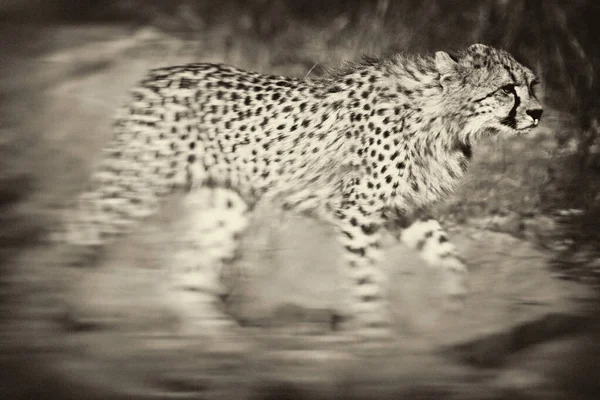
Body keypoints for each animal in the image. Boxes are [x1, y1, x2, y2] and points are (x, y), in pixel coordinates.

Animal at [57, 42, 544, 344]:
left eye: (532, 85)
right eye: (507, 89)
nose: (539, 113)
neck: (444, 117)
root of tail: (158, 73)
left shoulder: (405, 210)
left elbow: (451, 259)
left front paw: (453, 311)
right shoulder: (358, 212)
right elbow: (367, 278)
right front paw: (374, 337)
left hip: (224, 205)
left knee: (188, 269)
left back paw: (215, 335)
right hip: (135, 181)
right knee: (76, 229)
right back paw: (53, 312)